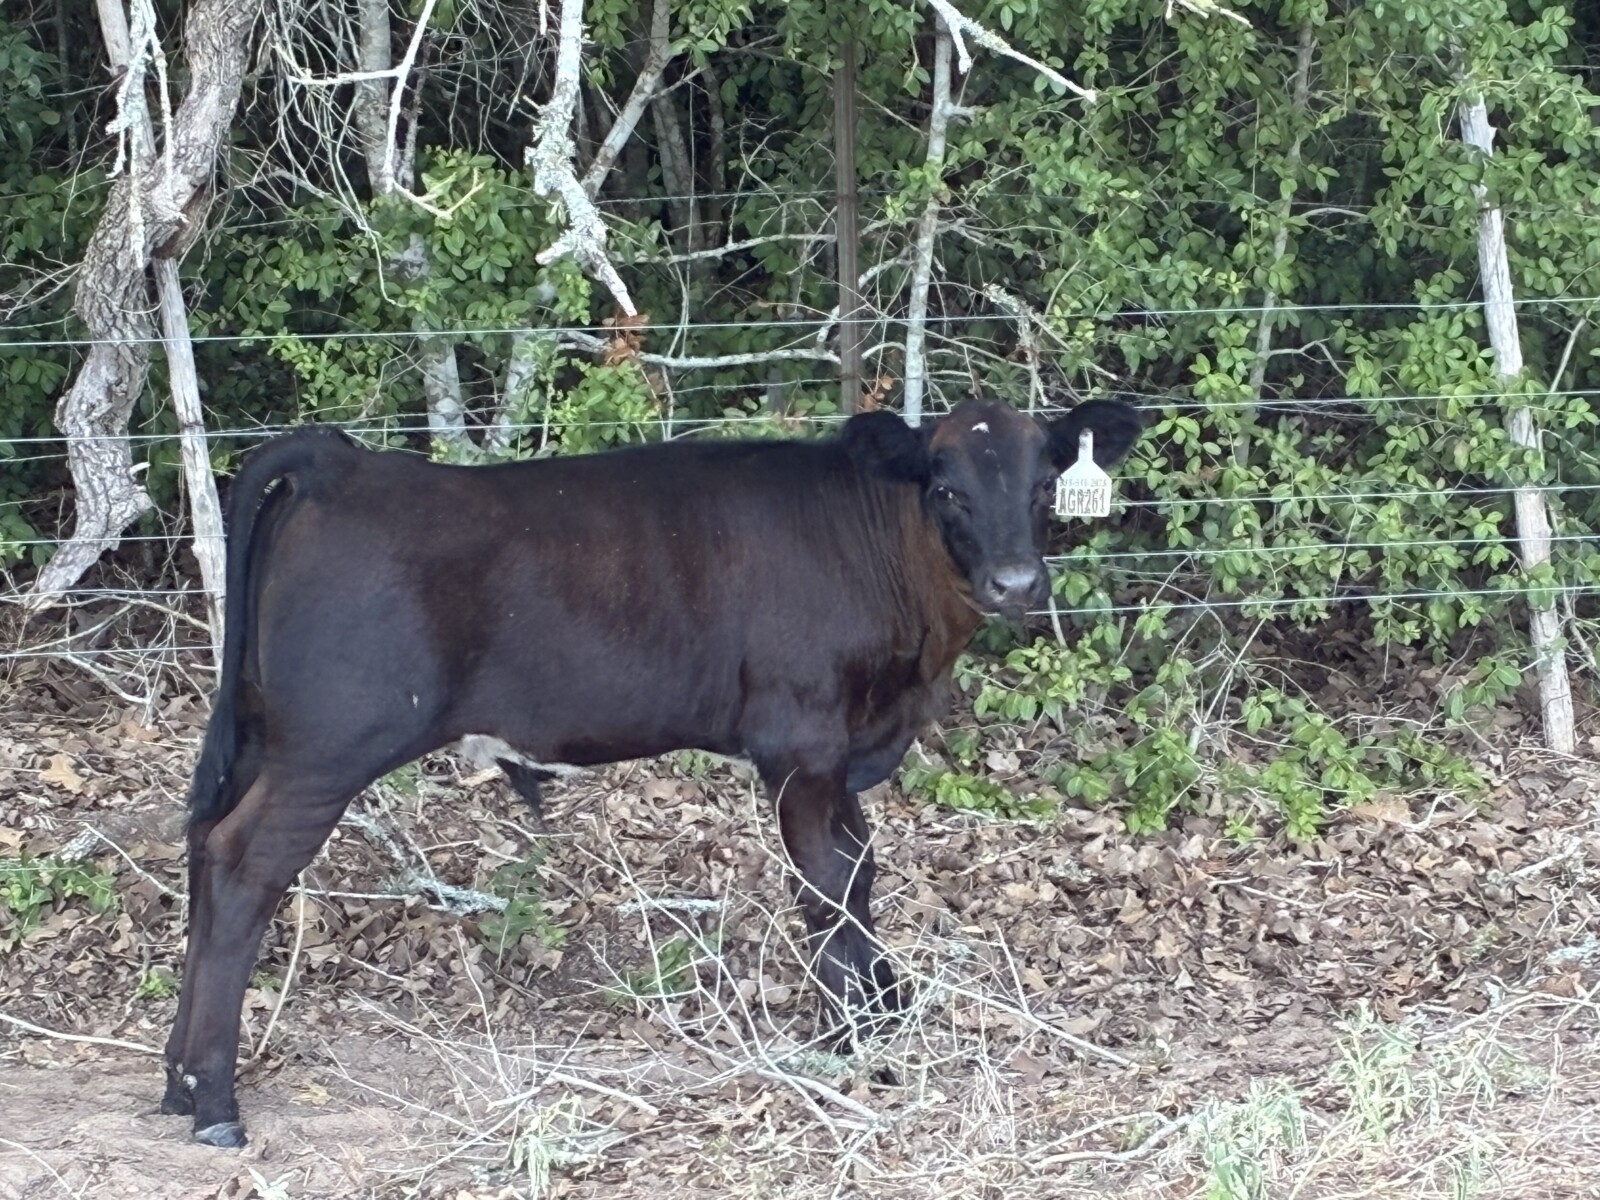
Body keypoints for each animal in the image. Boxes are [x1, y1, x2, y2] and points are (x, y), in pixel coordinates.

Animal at [158, 397, 1142, 1146]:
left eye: (1045, 483)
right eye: (946, 489)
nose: (1017, 584)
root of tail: (343, 461)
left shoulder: (837, 755)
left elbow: (861, 873)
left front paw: (884, 1011)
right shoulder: (801, 746)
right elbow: (827, 886)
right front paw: (849, 1039)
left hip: (263, 736)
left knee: (203, 843)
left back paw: (176, 1082)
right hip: (327, 748)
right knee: (242, 866)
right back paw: (215, 1100)